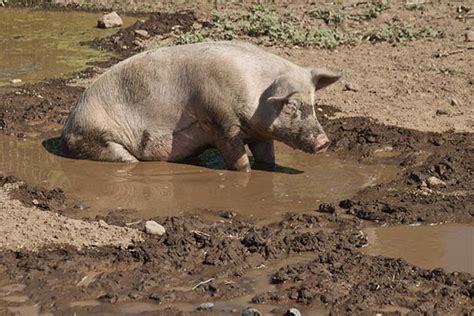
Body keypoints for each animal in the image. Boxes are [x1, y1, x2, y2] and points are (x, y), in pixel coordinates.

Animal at [62, 41, 340, 172]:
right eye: (291, 105)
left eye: (313, 102)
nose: (324, 142)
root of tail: (67, 127)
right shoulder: (221, 121)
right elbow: (238, 160)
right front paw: (246, 171)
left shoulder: (261, 134)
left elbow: (268, 158)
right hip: (99, 138)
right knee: (124, 158)